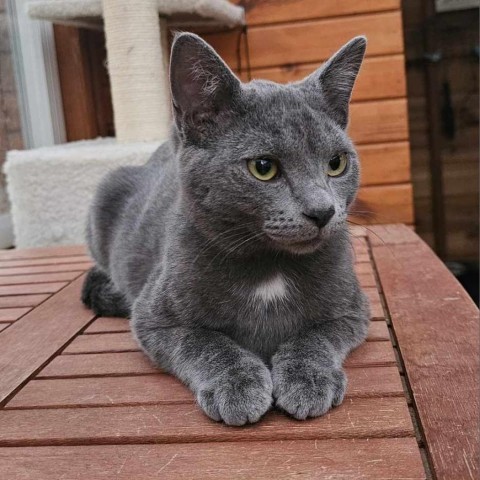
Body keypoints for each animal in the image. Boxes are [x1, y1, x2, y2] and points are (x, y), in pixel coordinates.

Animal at [82, 31, 370, 426]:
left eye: (337, 163)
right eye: (263, 167)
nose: (323, 211)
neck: (270, 266)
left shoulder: (353, 309)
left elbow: (315, 336)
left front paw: (308, 378)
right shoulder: (154, 317)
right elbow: (206, 342)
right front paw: (237, 385)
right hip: (104, 195)